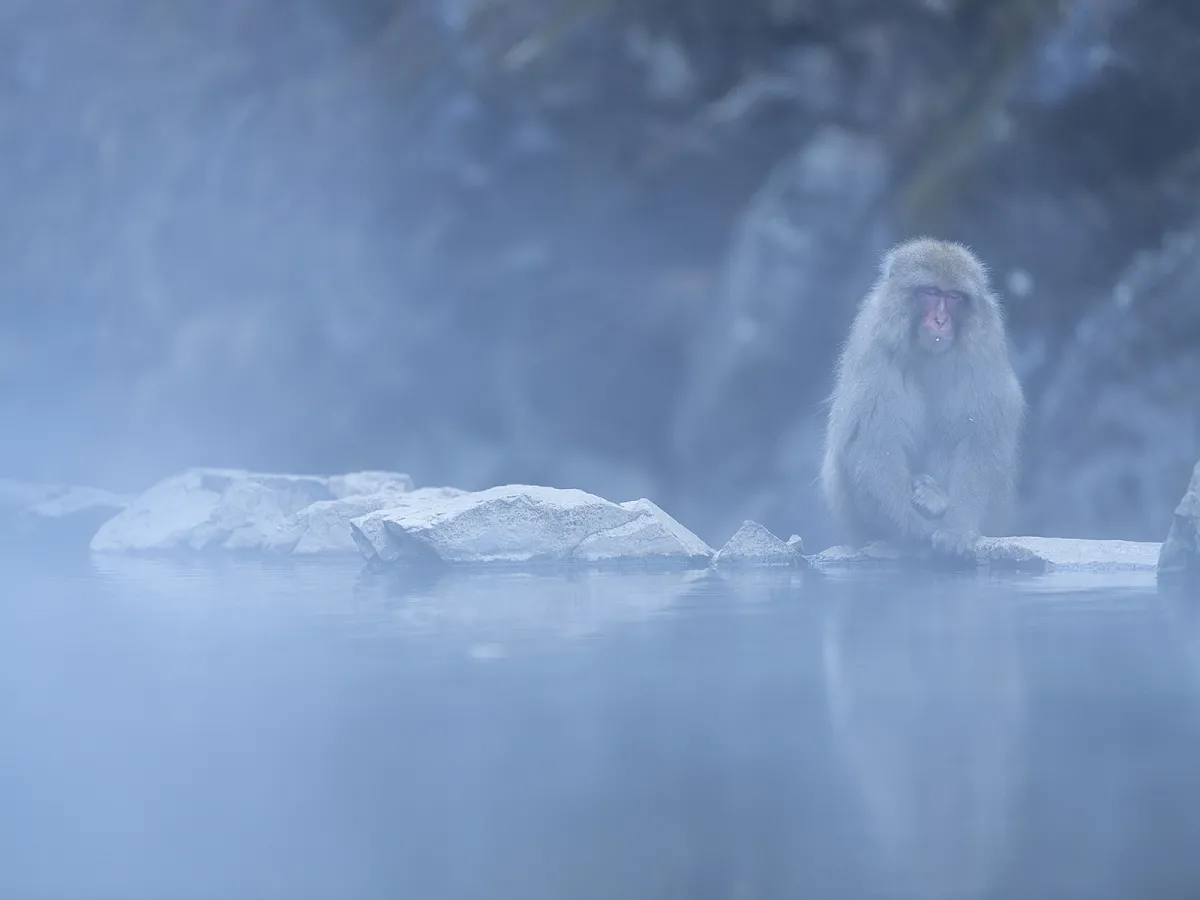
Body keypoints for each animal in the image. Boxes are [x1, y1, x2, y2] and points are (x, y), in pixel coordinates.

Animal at [820, 238, 1025, 561]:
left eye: (953, 297)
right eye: (930, 292)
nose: (940, 320)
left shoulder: (986, 346)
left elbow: (980, 438)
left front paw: (957, 528)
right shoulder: (873, 343)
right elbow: (872, 441)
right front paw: (913, 526)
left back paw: (934, 498)